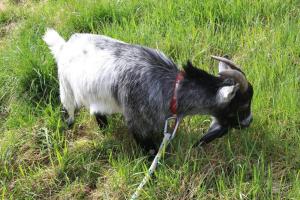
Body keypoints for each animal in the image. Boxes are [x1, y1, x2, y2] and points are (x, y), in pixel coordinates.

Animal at [42, 28, 253, 153]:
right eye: (243, 104)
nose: (249, 122)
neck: (173, 88)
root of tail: (64, 46)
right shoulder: (136, 120)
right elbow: (150, 149)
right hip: (66, 89)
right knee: (68, 111)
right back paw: (69, 126)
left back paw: (104, 128)